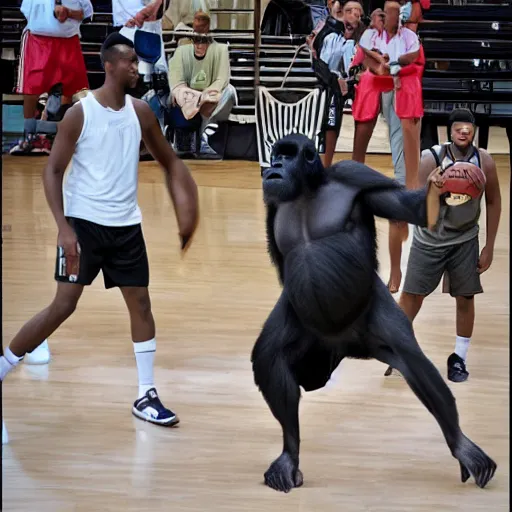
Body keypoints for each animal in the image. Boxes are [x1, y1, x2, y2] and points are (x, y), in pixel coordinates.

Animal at [250, 134, 498, 494]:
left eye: (288, 154)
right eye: (276, 153)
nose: (276, 164)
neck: (307, 189)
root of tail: (342, 344)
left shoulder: (356, 176)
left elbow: (403, 207)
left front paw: (436, 190)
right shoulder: (273, 201)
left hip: (373, 319)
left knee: (412, 359)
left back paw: (461, 446)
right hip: (306, 327)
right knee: (269, 356)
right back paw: (289, 454)